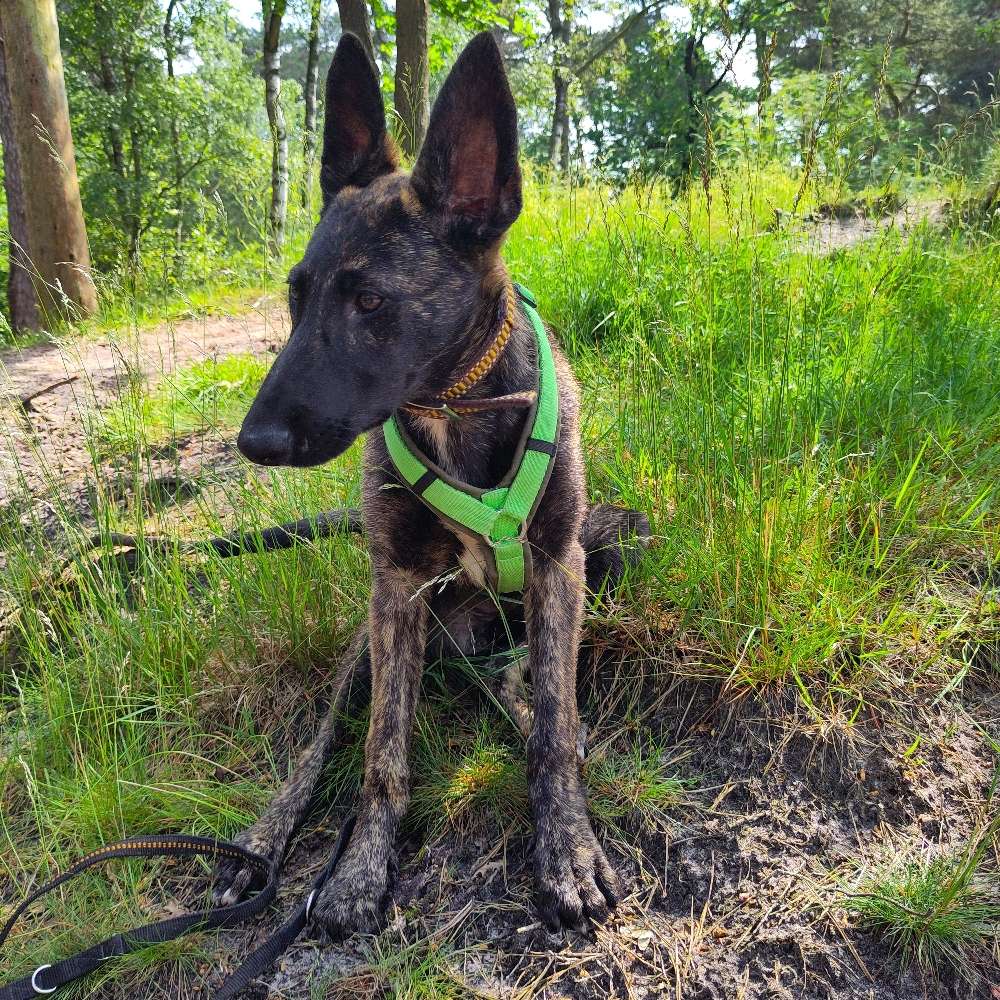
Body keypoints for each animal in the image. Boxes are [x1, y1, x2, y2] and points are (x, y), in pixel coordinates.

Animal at [216, 31, 652, 936]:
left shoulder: (558, 561)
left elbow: (554, 726)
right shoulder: (397, 586)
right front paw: (357, 871)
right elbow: (381, 749)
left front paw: (568, 848)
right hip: (374, 637)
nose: (254, 442)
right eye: (296, 296)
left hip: (615, 544)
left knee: (526, 685)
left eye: (370, 301)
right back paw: (262, 845)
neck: (455, 400)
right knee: (320, 744)